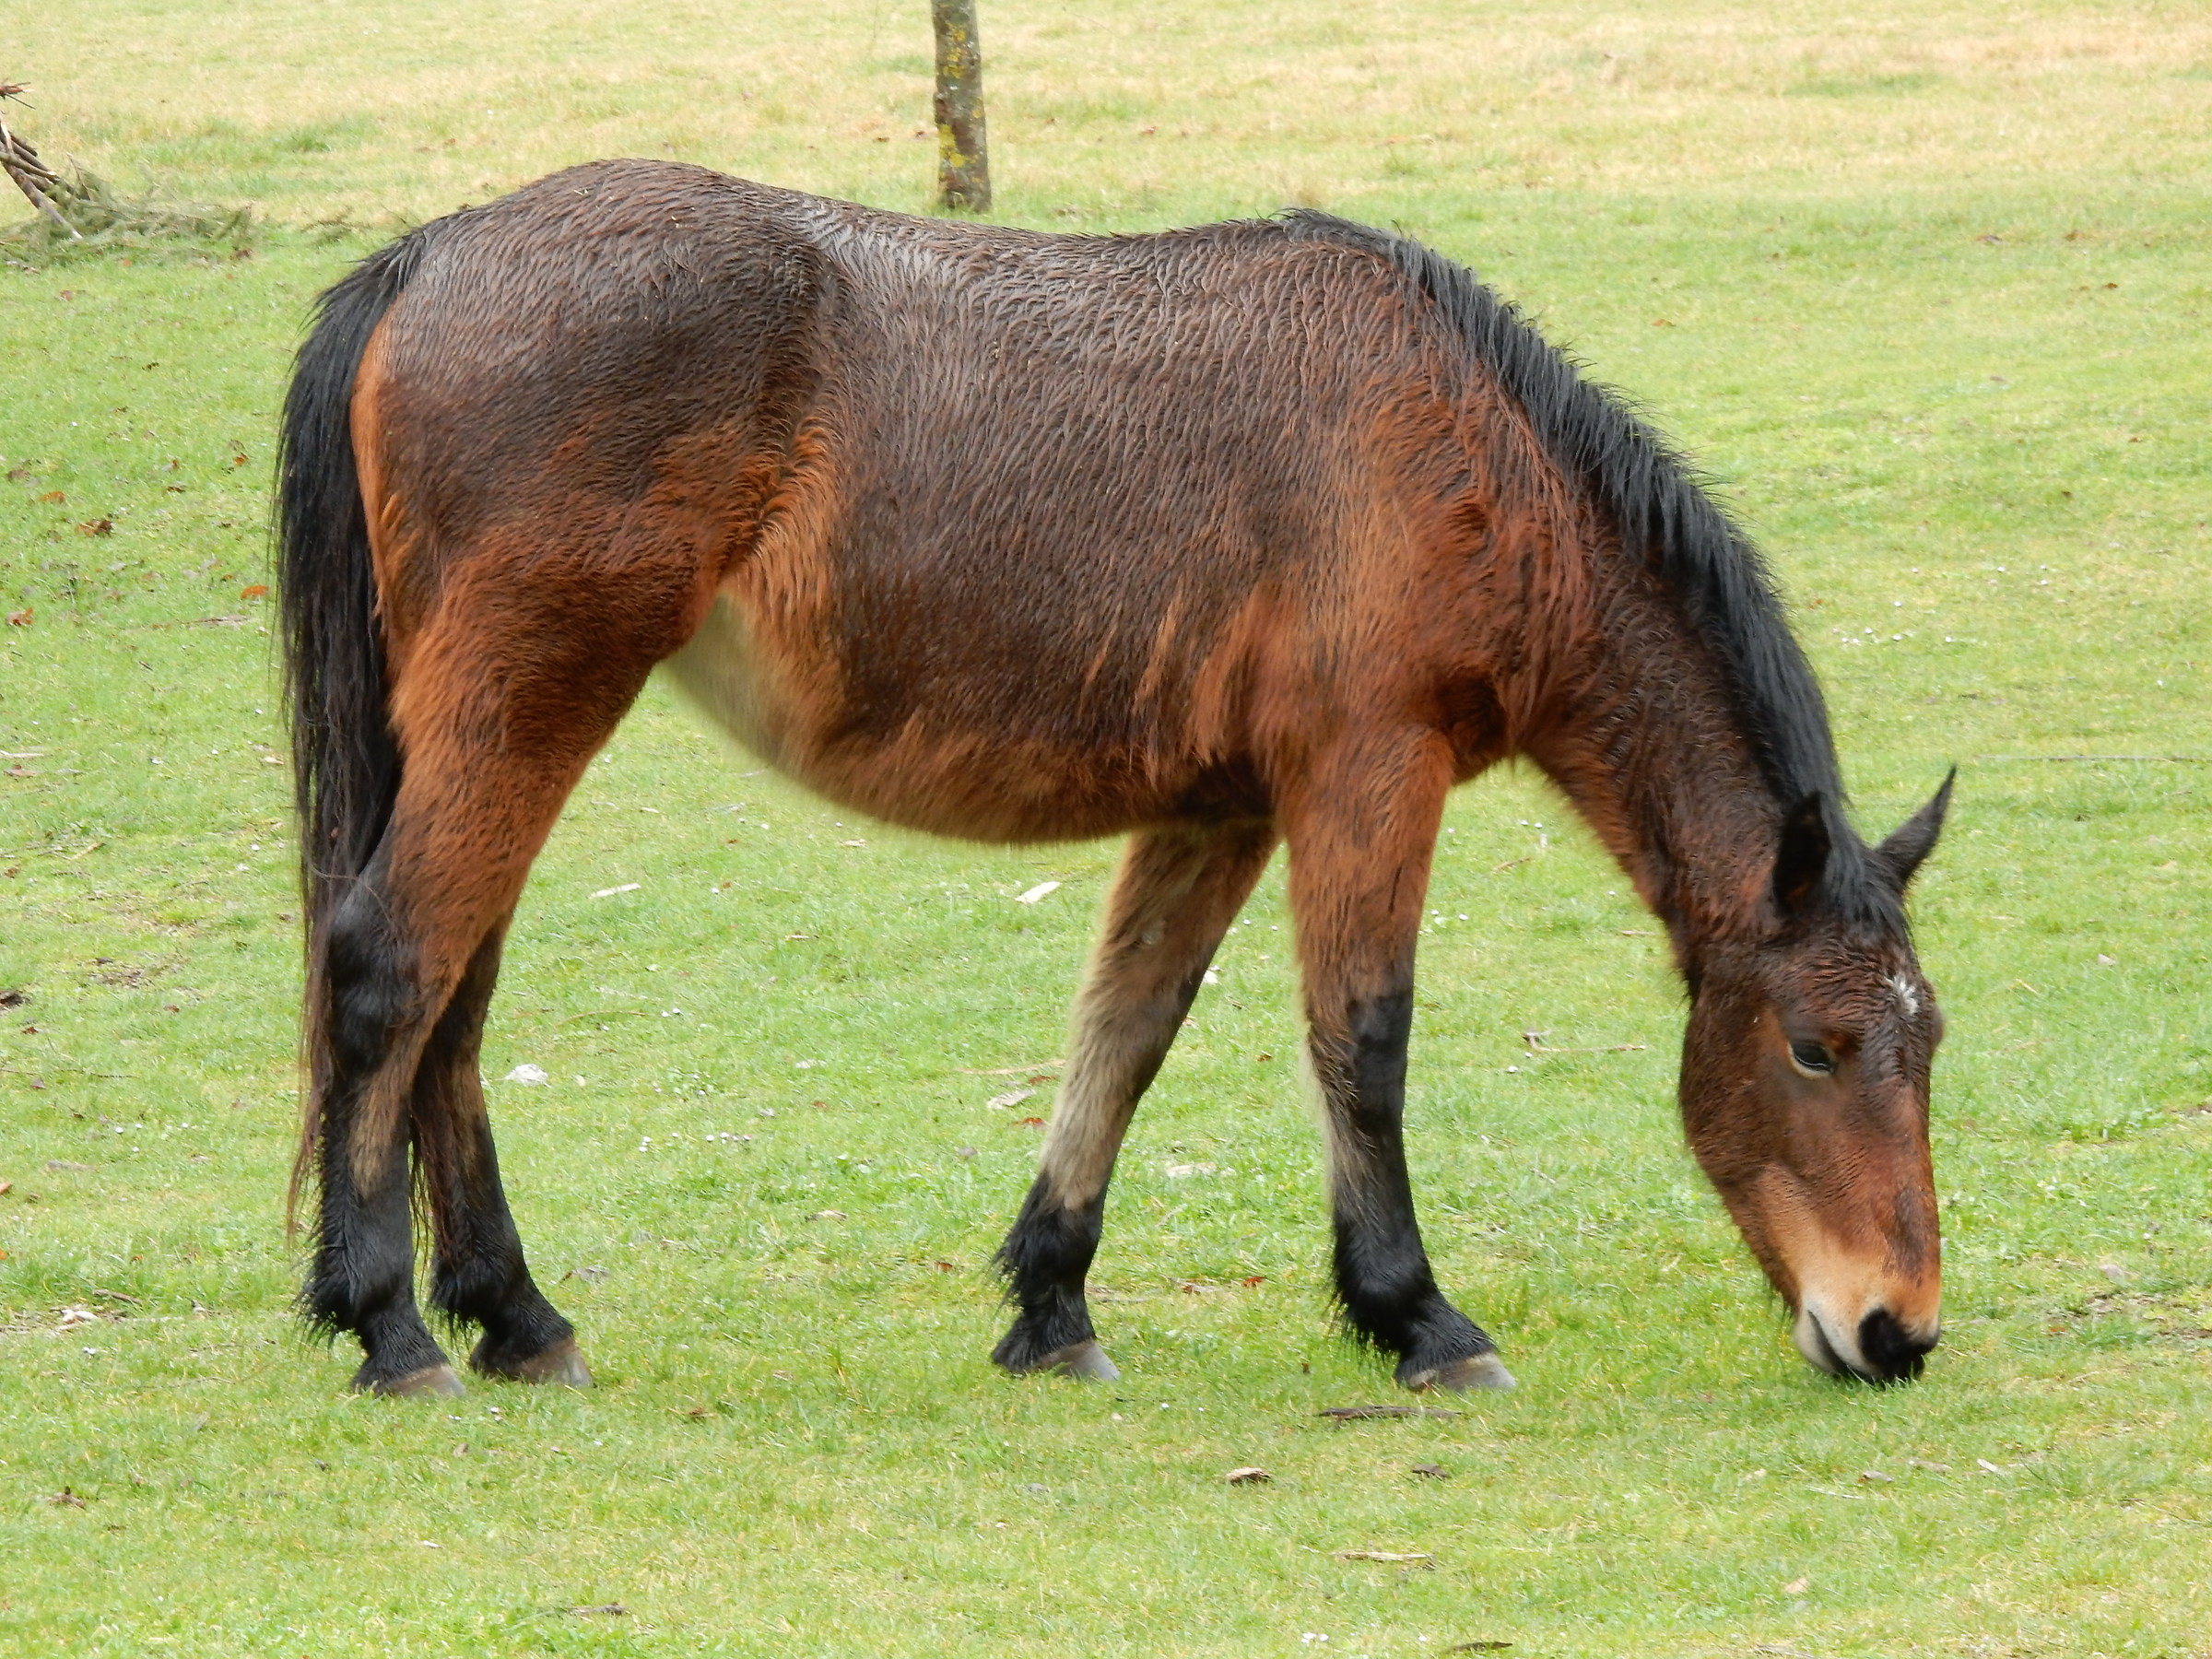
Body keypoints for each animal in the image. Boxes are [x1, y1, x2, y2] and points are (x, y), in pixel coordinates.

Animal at [277, 158, 1952, 1399]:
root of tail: (427, 256)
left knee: (452, 998)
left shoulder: (1221, 806)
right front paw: (1414, 1315)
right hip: (530, 705)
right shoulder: (1365, 772)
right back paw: (394, 1325)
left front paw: (1051, 1302)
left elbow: (1125, 1034)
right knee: (391, 966)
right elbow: (1363, 1040)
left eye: (1924, 1046)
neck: (1464, 447)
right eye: (1815, 1047)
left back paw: (513, 1315)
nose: (1898, 1331)